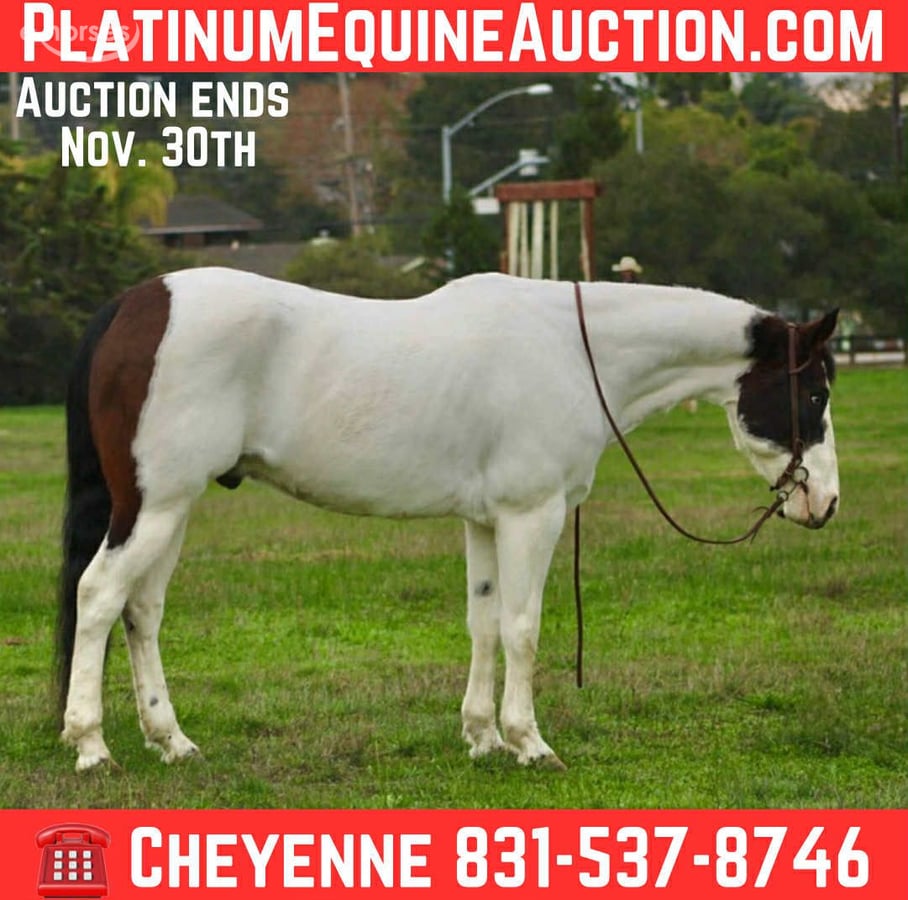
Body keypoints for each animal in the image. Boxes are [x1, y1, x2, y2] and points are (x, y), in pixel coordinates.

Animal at [57, 268, 839, 772]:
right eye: (815, 392)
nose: (825, 503)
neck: (570, 351)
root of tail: (136, 305)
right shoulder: (531, 516)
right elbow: (523, 628)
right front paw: (529, 743)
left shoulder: (485, 522)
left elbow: (483, 623)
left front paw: (483, 736)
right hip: (153, 506)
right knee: (98, 596)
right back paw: (91, 744)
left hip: (171, 508)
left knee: (142, 610)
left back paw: (171, 741)